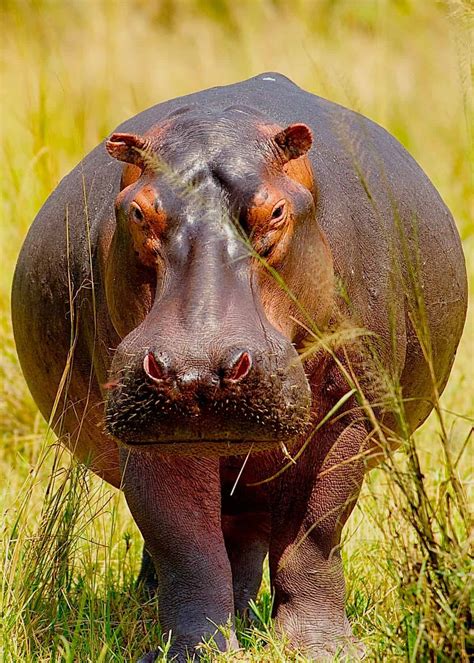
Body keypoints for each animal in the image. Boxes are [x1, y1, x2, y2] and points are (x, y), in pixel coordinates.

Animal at [12, 73, 467, 661]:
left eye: (276, 212)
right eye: (136, 212)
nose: (198, 369)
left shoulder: (347, 412)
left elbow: (315, 533)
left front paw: (323, 650)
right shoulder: (157, 436)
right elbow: (182, 543)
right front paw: (194, 651)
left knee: (249, 534)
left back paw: (249, 621)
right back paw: (162, 610)